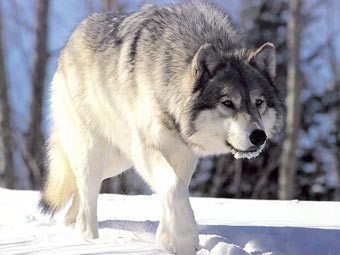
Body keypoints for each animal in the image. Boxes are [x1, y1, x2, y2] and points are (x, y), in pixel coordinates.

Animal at [39, 0, 284, 254]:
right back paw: (89, 239)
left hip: (117, 161)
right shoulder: (146, 148)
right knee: (87, 196)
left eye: (258, 102)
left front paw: (168, 239)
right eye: (228, 103)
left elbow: (177, 189)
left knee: (79, 189)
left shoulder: (185, 153)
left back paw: (70, 225)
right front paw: (182, 238)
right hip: (96, 153)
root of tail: (71, 40)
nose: (259, 137)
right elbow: (174, 187)